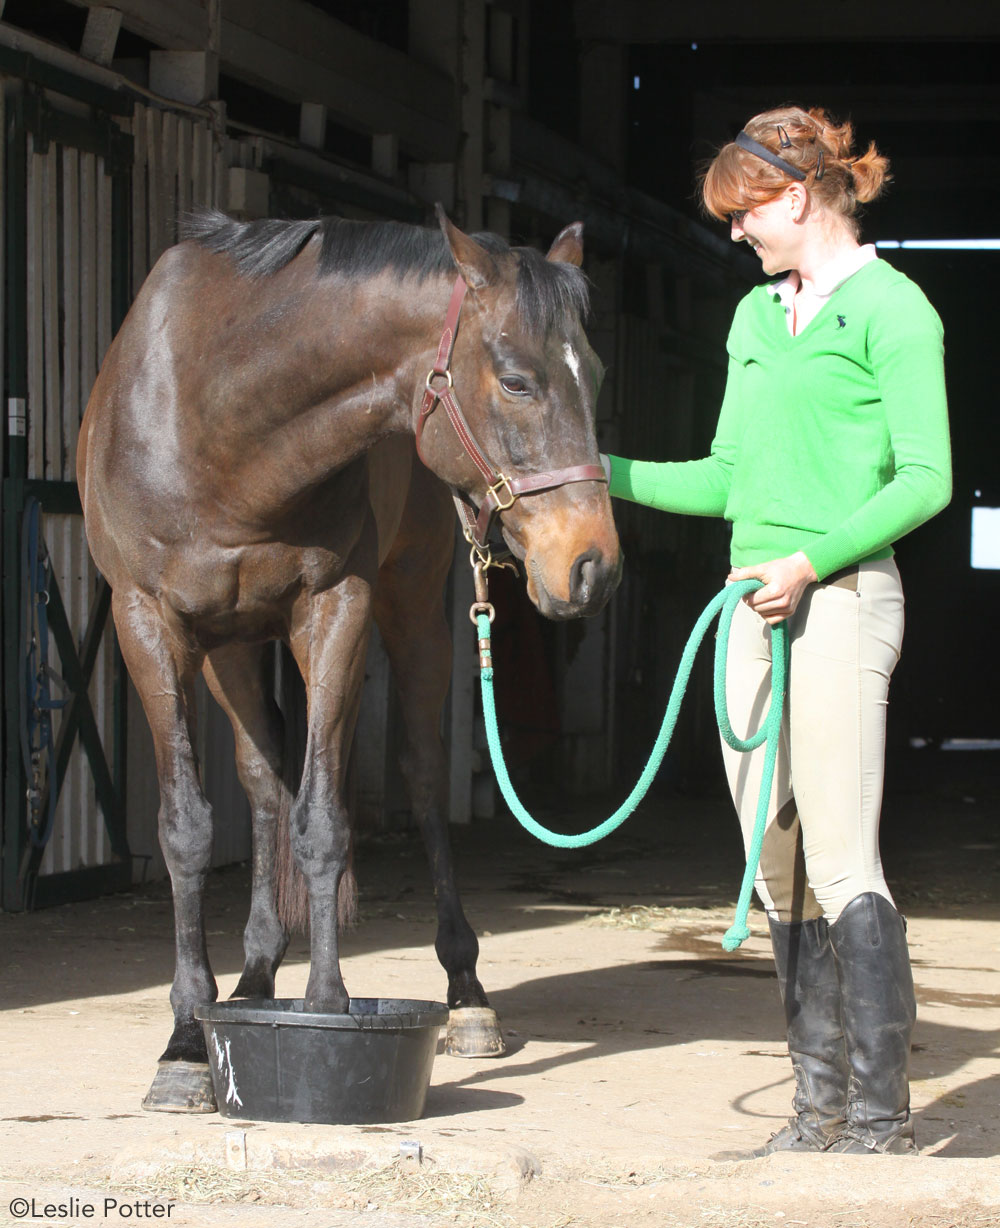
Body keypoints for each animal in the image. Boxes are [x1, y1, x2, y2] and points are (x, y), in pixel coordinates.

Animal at [78, 203, 621, 1115]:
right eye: (516, 380)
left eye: (599, 377)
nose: (594, 566)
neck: (216, 420)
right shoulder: (147, 624)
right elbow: (189, 828)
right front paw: (187, 1041)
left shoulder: (339, 607)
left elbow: (324, 822)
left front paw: (329, 1011)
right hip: (230, 648)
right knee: (262, 783)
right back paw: (253, 979)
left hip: (411, 610)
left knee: (420, 776)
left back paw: (467, 997)